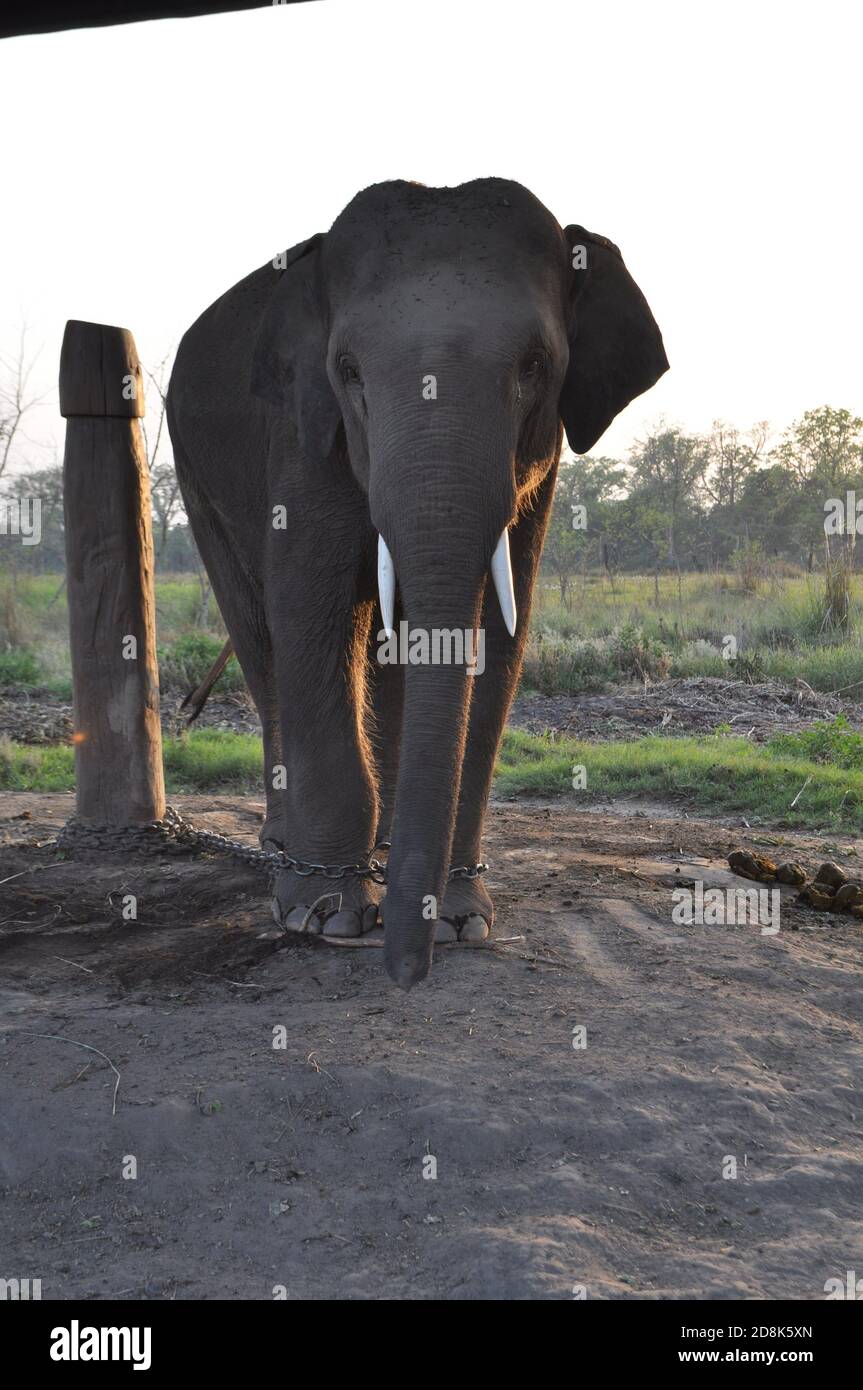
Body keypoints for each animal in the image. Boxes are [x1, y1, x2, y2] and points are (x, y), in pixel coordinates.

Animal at [168, 176, 667, 989]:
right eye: (348, 370)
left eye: (535, 366)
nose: (405, 974)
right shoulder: (303, 434)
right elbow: (310, 611)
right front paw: (324, 917)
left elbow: (497, 630)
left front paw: (461, 919)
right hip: (197, 478)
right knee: (260, 632)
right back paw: (284, 850)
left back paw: (380, 852)